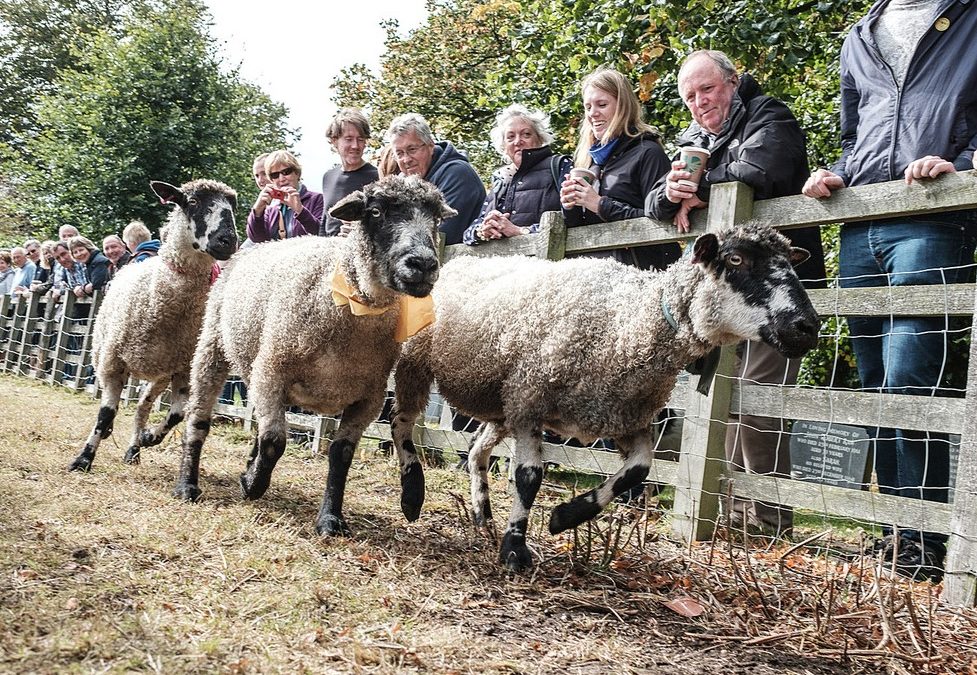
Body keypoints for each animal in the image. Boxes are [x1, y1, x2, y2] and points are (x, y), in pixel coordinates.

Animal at [69, 180, 238, 476]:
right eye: (192, 202)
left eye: (233, 206)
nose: (228, 240)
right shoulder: (113, 364)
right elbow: (105, 414)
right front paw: (83, 459)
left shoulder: (183, 370)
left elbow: (177, 415)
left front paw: (149, 437)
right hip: (108, 356)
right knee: (120, 407)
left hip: (160, 374)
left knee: (142, 406)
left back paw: (135, 448)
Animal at [172, 176, 454, 540]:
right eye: (376, 211)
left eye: (437, 219)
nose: (423, 265)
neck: (345, 301)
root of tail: (256, 246)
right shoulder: (271, 372)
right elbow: (275, 440)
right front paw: (252, 484)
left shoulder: (369, 399)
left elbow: (340, 454)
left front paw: (331, 519)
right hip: (214, 347)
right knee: (201, 419)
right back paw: (187, 485)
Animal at [392, 222, 820, 572]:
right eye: (735, 259)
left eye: (791, 263)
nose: (808, 327)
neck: (629, 320)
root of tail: (457, 263)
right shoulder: (530, 403)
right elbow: (529, 477)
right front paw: (515, 550)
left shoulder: (624, 417)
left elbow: (638, 470)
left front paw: (566, 516)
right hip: (421, 365)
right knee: (401, 424)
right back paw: (413, 495)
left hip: (501, 405)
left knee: (477, 449)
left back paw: (482, 513)